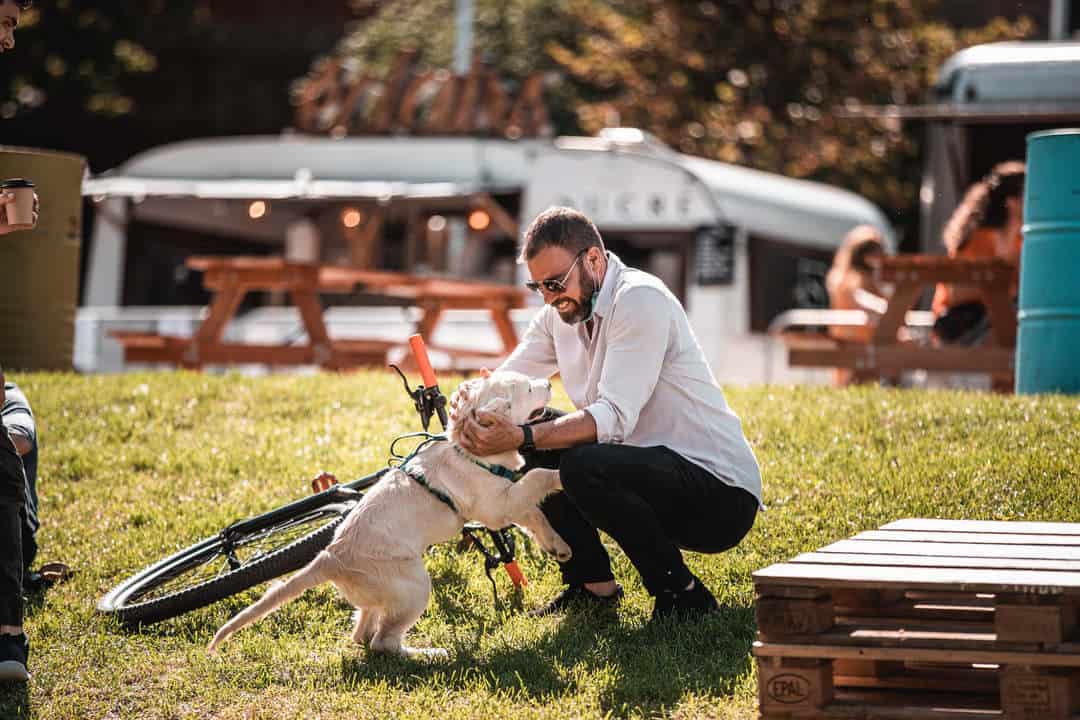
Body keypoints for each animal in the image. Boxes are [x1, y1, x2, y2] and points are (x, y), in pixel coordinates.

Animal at [205, 375, 570, 660]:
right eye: (527, 388)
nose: (550, 383)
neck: (467, 449)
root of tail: (330, 557)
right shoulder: (496, 506)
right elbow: (537, 477)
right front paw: (561, 475)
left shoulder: (508, 500)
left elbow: (535, 513)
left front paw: (558, 546)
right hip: (413, 587)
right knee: (384, 642)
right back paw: (430, 654)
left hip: (380, 595)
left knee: (363, 633)